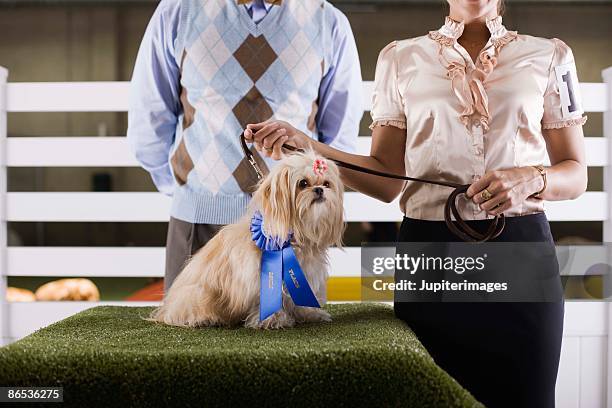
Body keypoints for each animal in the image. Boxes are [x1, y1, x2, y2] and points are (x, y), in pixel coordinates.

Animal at [151, 151, 344, 330]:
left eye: (326, 184)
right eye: (303, 183)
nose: (319, 189)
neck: (294, 235)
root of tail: (166, 309)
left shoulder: (305, 276)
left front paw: (309, 313)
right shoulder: (257, 276)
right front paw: (271, 320)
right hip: (197, 294)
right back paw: (205, 318)